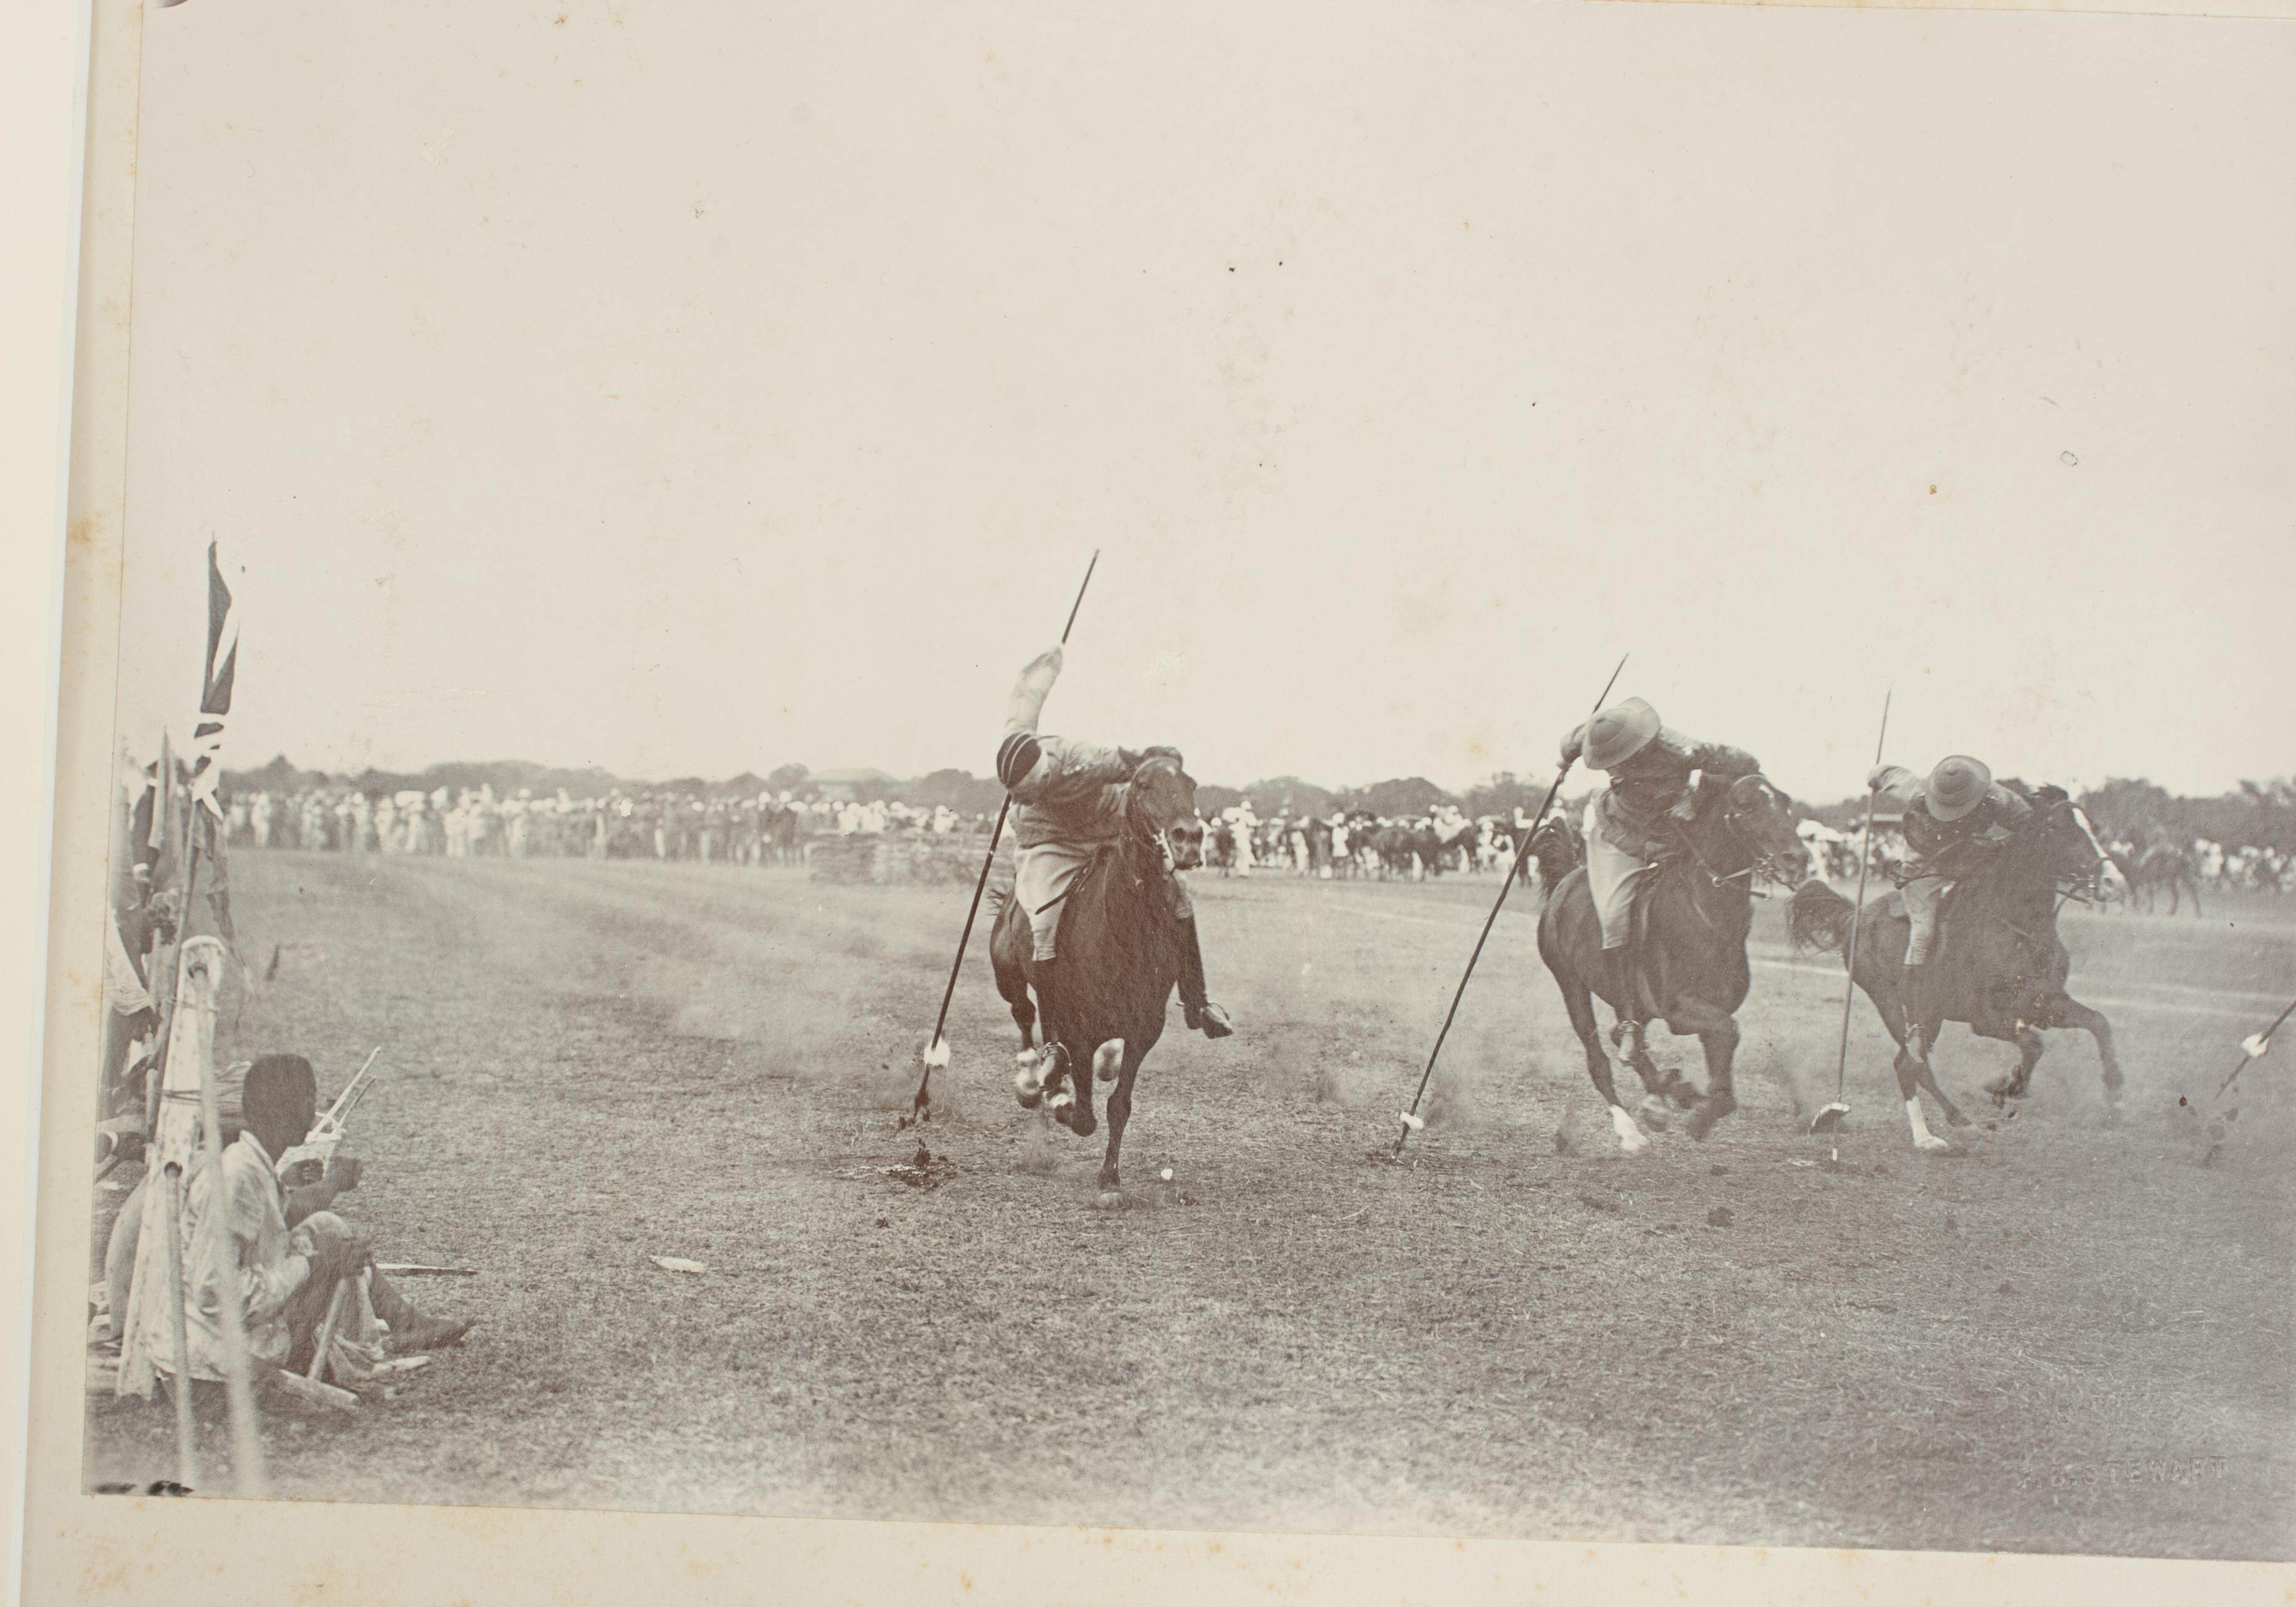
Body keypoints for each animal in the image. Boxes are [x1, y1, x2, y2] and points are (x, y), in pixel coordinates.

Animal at [987, 757, 1203, 1203]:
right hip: (1009, 977)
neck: (1124, 932)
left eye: (1191, 784)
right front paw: (1057, 1098)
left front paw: (1110, 1179)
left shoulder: (1145, 1027)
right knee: (1024, 1015)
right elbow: (1084, 1114)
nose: (1189, 839)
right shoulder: (1079, 1028)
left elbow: (1118, 1103)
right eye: (1143, 784)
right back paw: (1033, 1079)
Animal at [1534, 771, 1799, 1148]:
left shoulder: (1709, 1008)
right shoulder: (1678, 1010)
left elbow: (1722, 1038)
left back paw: (1665, 1094)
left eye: (1787, 803)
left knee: (1624, 1038)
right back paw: (1631, 1131)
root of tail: (1566, 880)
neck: (1706, 914)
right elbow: (1727, 1030)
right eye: (1747, 805)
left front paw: (1691, 1099)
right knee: (1599, 1059)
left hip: (1631, 1003)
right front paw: (1699, 1115)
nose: (1797, 859)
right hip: (1571, 985)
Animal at [1782, 785, 2121, 1148]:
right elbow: (2033, 1045)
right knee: (1908, 1065)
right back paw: (1930, 1136)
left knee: (1912, 1064)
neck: (2018, 929)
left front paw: (2114, 1096)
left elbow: (2099, 1023)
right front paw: (2005, 1086)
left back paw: (1955, 1121)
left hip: (1931, 1016)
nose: (2113, 881)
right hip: (1893, 1005)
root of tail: (1852, 915)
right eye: (2058, 828)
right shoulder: (1987, 1019)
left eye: (2092, 826)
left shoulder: (2044, 1003)